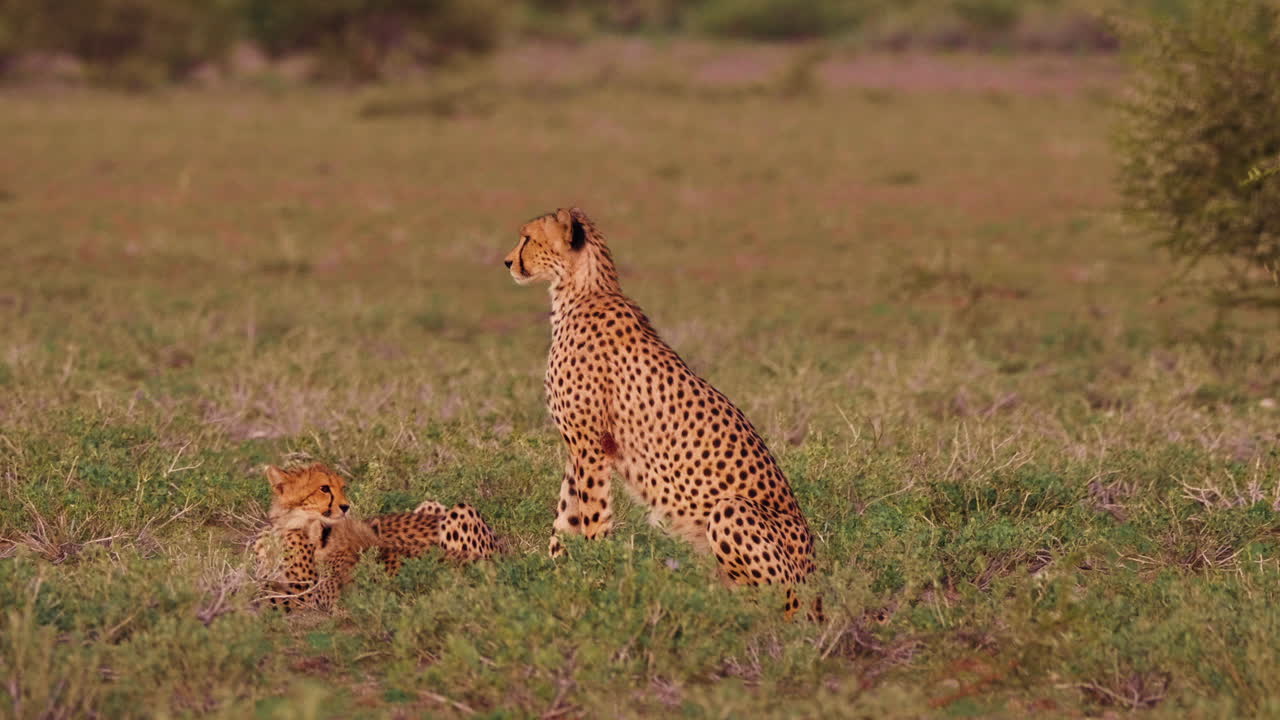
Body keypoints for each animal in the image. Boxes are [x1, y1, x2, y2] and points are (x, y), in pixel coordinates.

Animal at [253, 462, 498, 612]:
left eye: (343, 487)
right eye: (324, 488)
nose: (346, 507)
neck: (285, 525)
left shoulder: (306, 590)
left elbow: (267, 598)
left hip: (461, 510)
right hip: (433, 505)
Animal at [503, 207, 820, 620]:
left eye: (527, 238)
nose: (507, 261)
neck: (579, 290)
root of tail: (818, 580)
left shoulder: (590, 447)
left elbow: (592, 515)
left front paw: (593, 575)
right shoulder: (579, 448)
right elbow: (565, 514)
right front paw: (555, 575)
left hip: (731, 510)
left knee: (778, 606)